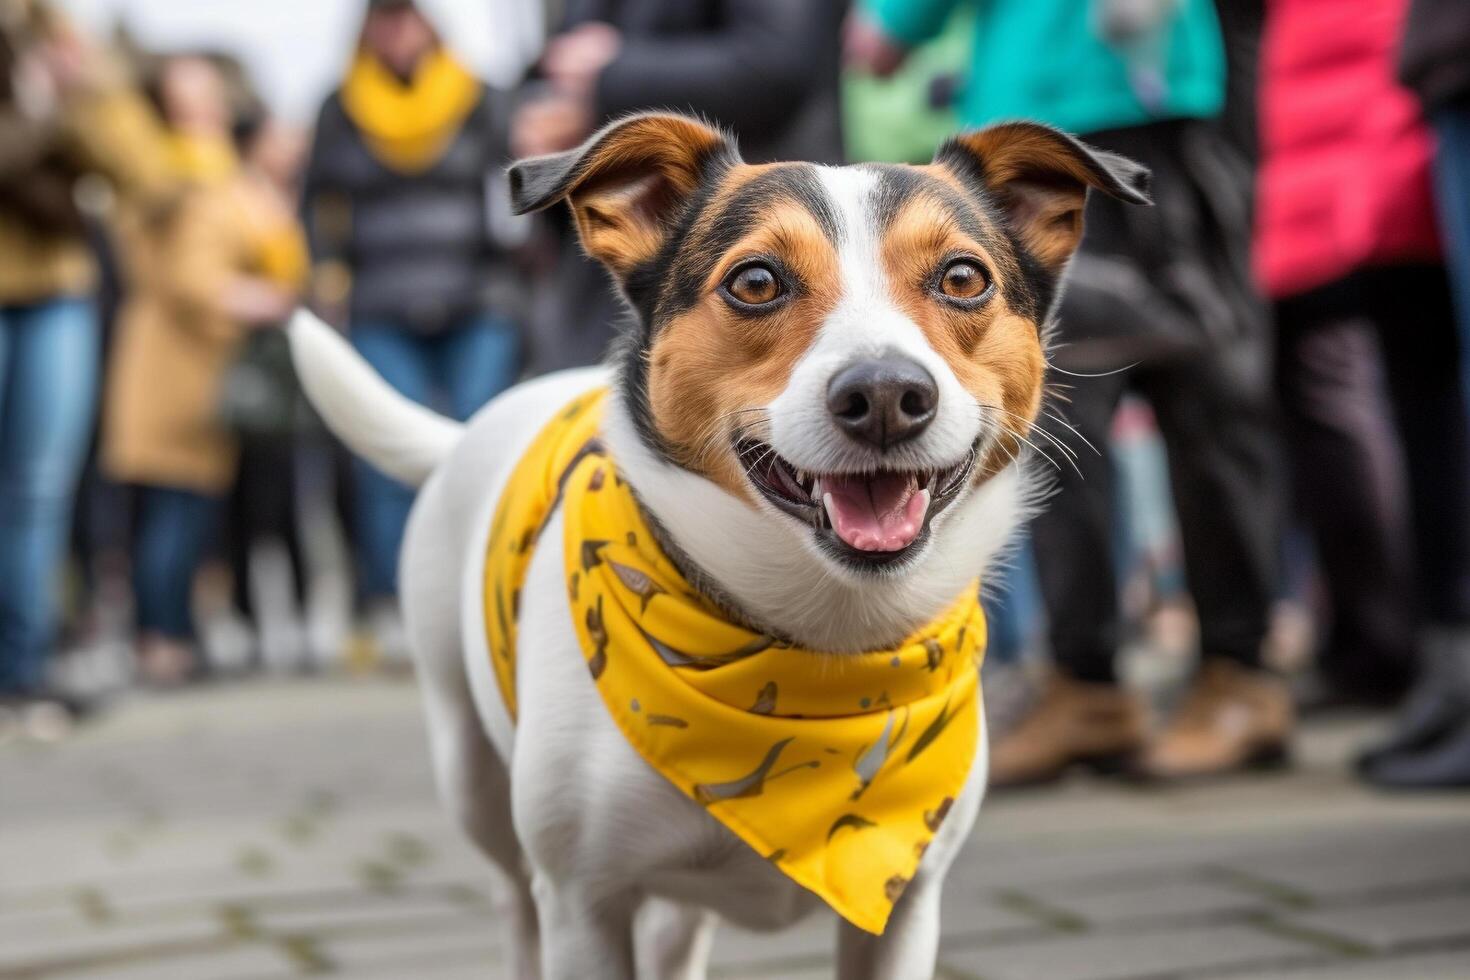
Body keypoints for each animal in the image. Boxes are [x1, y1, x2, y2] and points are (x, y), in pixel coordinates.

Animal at [289, 110, 1146, 975]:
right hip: (472, 775)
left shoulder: (905, 903)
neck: (824, 651)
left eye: (964, 279)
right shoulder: (582, 905)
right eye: (756, 282)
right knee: (512, 901)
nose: (884, 394)